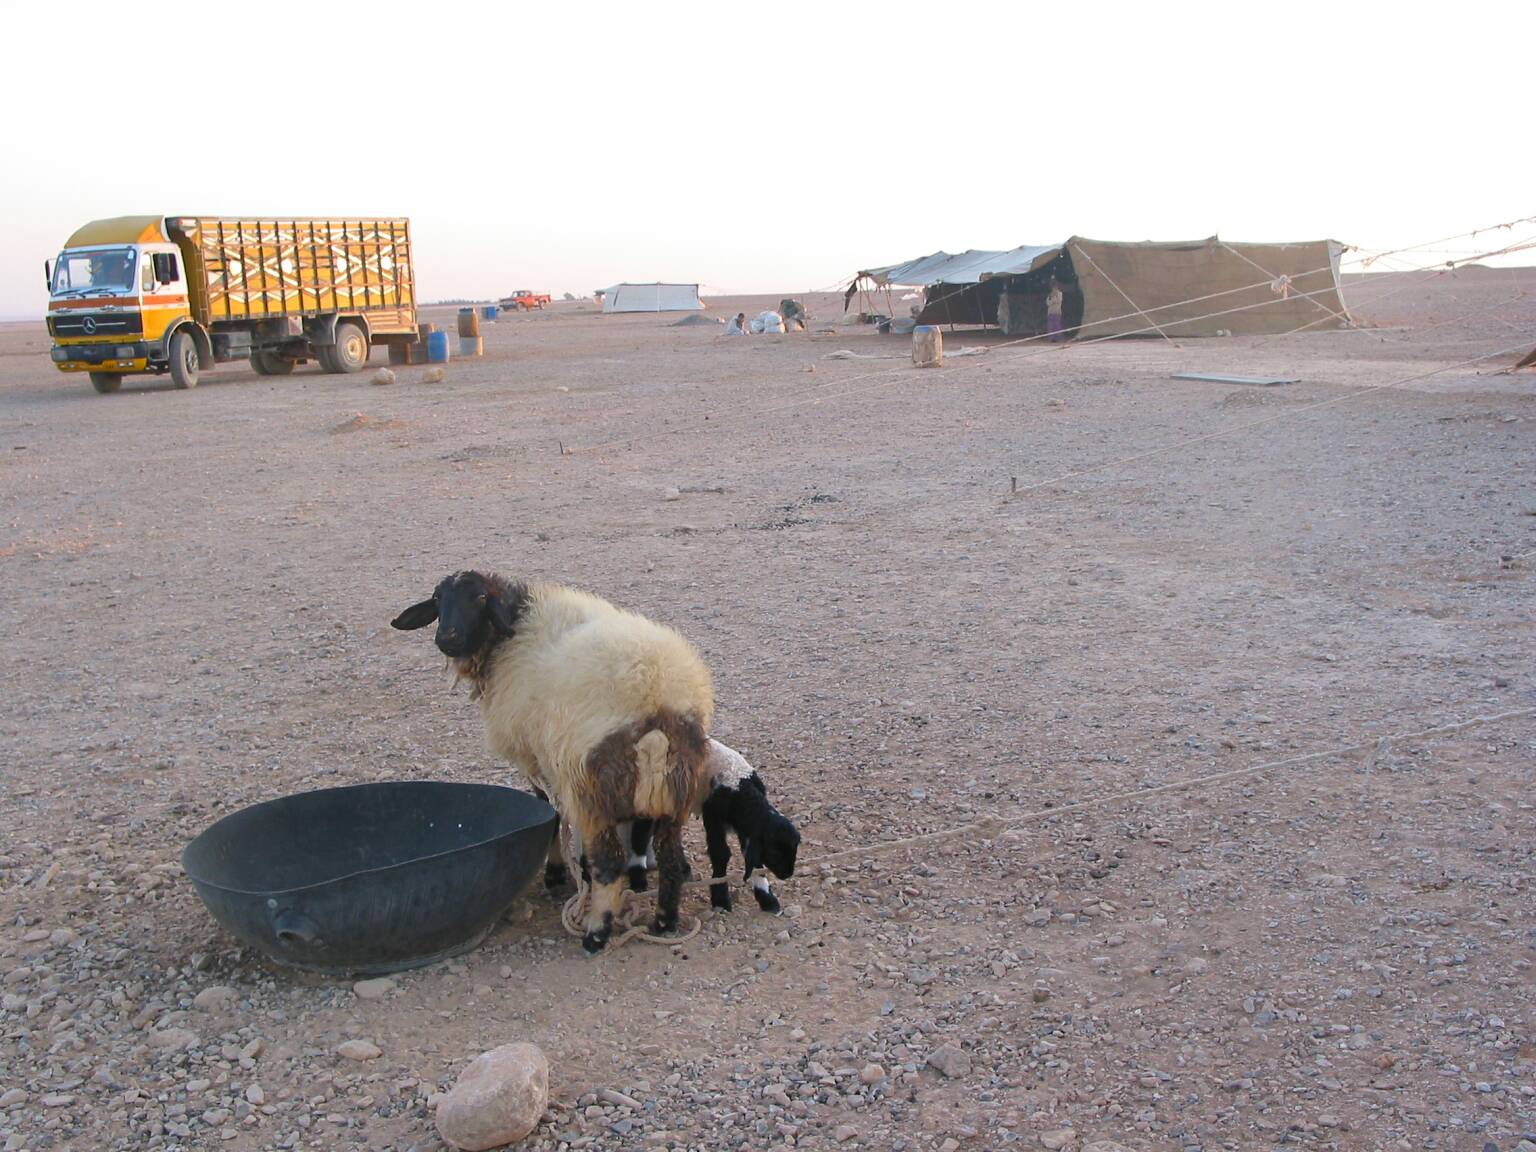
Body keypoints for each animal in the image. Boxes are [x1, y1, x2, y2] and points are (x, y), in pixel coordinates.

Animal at [391, 570, 713, 953]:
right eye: (438, 599)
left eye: (481, 598)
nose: (447, 638)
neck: (514, 627)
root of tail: (656, 698)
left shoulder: (535, 757)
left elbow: (548, 811)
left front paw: (556, 872)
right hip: (678, 787)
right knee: (668, 857)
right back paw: (664, 921)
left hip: (590, 787)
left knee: (610, 864)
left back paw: (596, 933)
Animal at [629, 739, 800, 914]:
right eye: (774, 852)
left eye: (795, 848)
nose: (787, 874)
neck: (737, 784)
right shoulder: (712, 815)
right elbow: (720, 854)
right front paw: (721, 899)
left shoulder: (746, 828)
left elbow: (752, 857)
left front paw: (767, 899)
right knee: (640, 832)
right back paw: (637, 878)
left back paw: (682, 870)